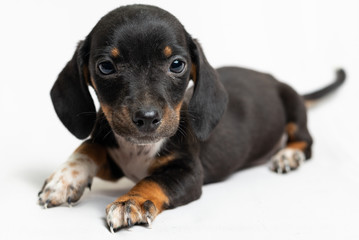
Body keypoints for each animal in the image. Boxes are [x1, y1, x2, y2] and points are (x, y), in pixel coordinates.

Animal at [38, 4, 346, 232]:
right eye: (105, 67)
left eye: (177, 64)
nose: (147, 118)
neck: (138, 149)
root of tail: (274, 80)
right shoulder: (114, 157)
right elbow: (88, 146)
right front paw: (64, 178)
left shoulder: (188, 173)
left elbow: (153, 181)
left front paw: (130, 202)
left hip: (293, 106)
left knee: (305, 140)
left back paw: (288, 155)